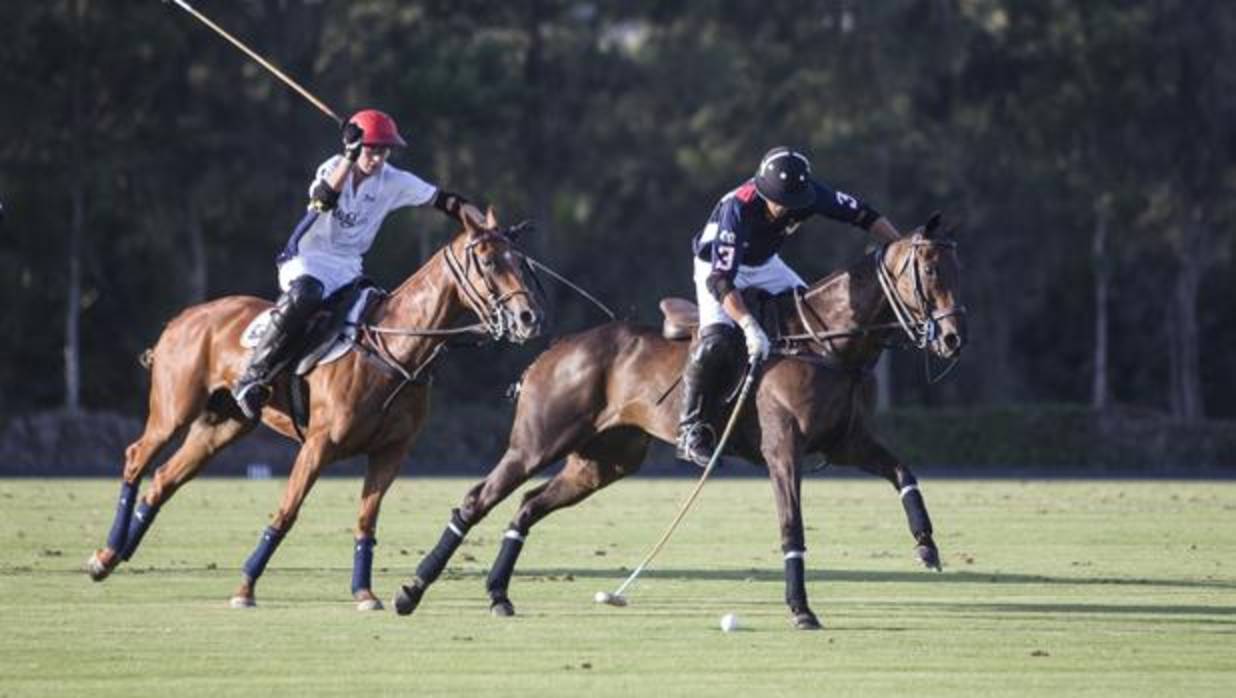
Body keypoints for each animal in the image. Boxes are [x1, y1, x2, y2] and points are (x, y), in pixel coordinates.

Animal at [87, 212, 546, 610]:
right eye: (488, 261)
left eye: (519, 261)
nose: (528, 317)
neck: (396, 349)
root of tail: (181, 319)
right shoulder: (318, 445)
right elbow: (286, 512)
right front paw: (245, 587)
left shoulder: (390, 453)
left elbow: (366, 521)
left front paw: (364, 593)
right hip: (174, 410)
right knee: (137, 457)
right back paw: (104, 555)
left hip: (222, 426)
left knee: (165, 478)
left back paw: (118, 554)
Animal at [395, 211, 964, 625]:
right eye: (931, 271)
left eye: (955, 269)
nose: (954, 337)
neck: (825, 341)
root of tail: (549, 352)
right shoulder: (784, 448)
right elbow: (792, 524)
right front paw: (801, 610)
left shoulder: (847, 442)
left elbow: (903, 472)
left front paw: (927, 546)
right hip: (537, 442)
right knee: (477, 500)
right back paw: (411, 590)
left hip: (604, 461)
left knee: (529, 506)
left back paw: (497, 593)